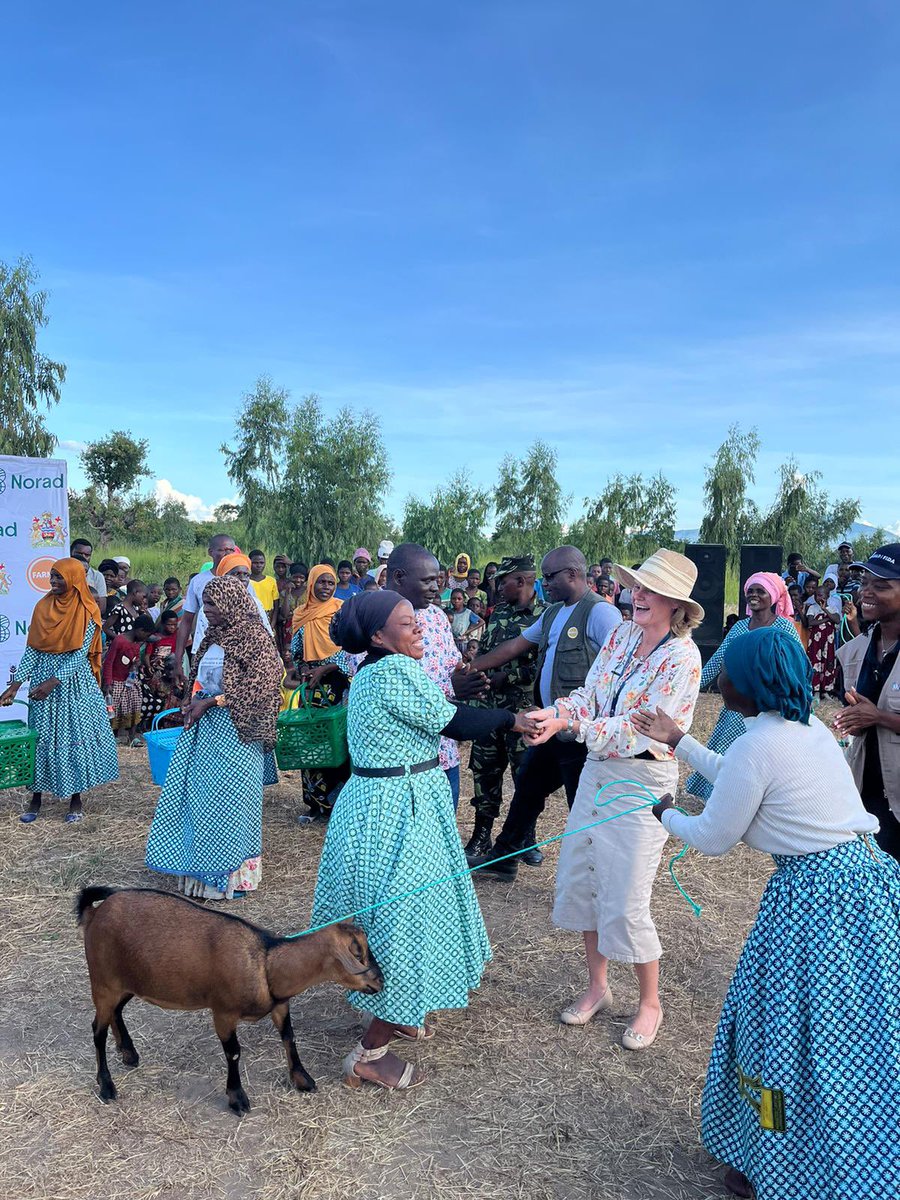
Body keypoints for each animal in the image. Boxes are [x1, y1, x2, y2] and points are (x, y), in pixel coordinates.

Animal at [77, 888, 384, 1108]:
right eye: (359, 953)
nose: (380, 981)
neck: (266, 962)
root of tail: (95, 912)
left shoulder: (280, 1005)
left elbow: (289, 1037)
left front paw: (302, 1079)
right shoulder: (223, 1012)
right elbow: (234, 1052)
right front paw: (237, 1098)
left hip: (127, 983)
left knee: (116, 1012)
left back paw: (128, 1053)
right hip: (103, 982)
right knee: (97, 1030)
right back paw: (107, 1086)